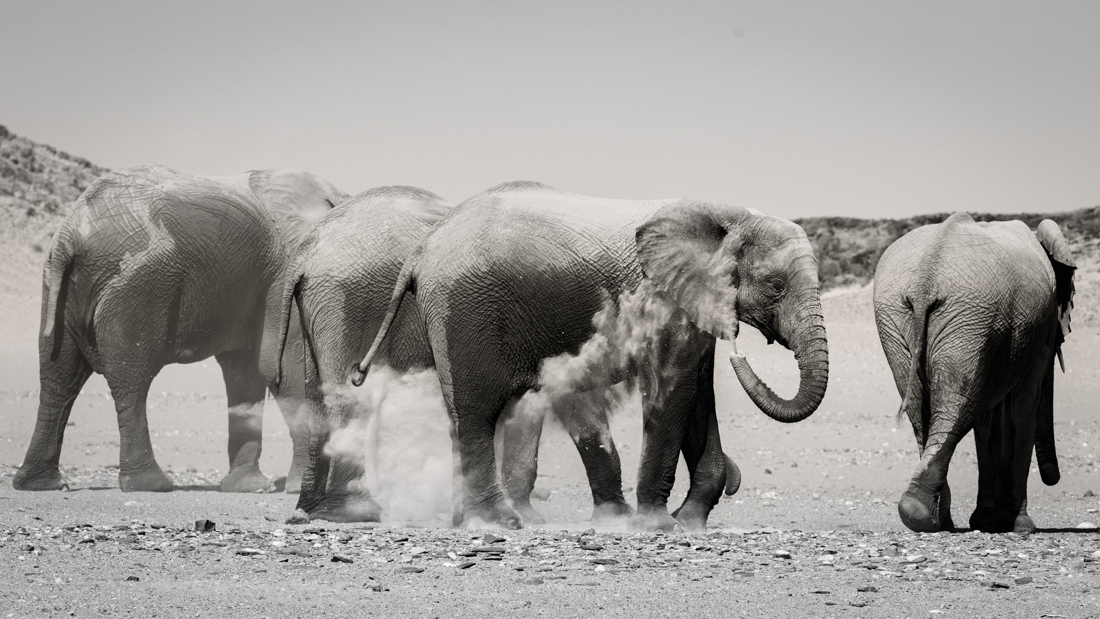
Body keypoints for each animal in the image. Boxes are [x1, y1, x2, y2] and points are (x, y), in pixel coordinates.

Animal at [13, 164, 345, 494]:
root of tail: (70, 233)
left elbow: (246, 371)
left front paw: (249, 488)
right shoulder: (284, 271)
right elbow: (283, 366)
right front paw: (297, 489)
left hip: (59, 287)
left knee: (58, 377)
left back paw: (41, 484)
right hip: (138, 286)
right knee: (131, 379)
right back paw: (150, 484)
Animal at [345, 181, 828, 532]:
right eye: (776, 287)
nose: (741, 352)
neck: (731, 215)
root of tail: (422, 248)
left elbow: (697, 395)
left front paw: (687, 523)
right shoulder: (660, 299)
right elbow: (673, 389)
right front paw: (656, 527)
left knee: (462, 418)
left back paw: (468, 522)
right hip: (462, 311)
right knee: (476, 414)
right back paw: (499, 523)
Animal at [873, 212, 1075, 533]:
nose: (1052, 478)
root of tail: (926, 278)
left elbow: (990, 419)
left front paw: (986, 521)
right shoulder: (1038, 332)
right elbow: (1022, 407)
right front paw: (1017, 525)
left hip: (909, 317)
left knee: (924, 407)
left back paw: (929, 518)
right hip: (969, 315)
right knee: (957, 403)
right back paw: (924, 514)